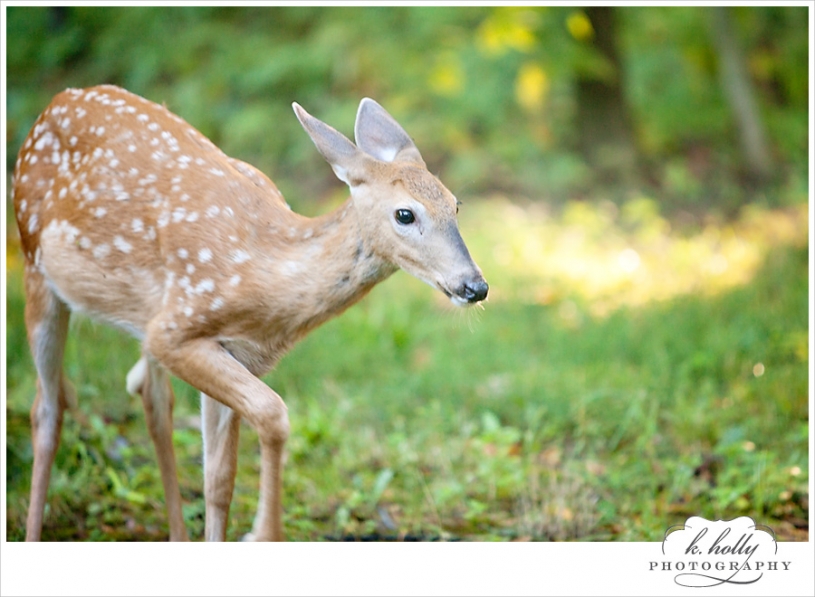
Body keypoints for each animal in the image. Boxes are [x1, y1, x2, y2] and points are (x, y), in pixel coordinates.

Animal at [11, 84, 488, 541]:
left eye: (455, 204)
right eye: (405, 214)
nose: (475, 286)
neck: (265, 278)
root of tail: (54, 103)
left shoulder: (233, 351)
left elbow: (219, 478)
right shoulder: (175, 329)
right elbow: (273, 414)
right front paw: (263, 534)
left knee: (151, 398)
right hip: (35, 263)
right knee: (47, 409)